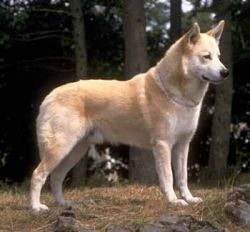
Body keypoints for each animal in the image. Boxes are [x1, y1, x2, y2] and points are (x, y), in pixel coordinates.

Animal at [29, 20, 229, 211]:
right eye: (206, 57)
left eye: (219, 56)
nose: (226, 72)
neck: (174, 94)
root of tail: (49, 96)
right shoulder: (163, 145)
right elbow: (169, 177)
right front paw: (174, 201)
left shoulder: (182, 145)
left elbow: (183, 177)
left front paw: (189, 199)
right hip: (61, 148)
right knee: (38, 175)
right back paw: (36, 207)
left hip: (75, 150)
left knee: (56, 177)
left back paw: (63, 204)